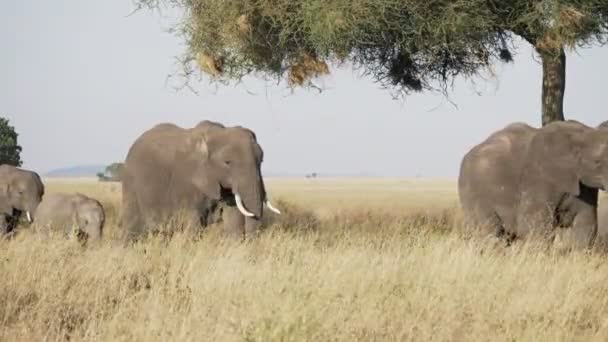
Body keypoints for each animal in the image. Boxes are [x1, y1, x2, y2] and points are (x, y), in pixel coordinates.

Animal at [121, 119, 282, 242]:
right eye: (227, 163)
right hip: (131, 181)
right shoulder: (185, 178)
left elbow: (233, 217)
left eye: (261, 161)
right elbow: (191, 221)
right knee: (131, 224)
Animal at [460, 120, 608, 248]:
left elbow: (586, 224)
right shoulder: (539, 175)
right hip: (473, 193)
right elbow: (535, 225)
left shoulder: (585, 183)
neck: (584, 133)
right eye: (597, 162)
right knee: (488, 231)